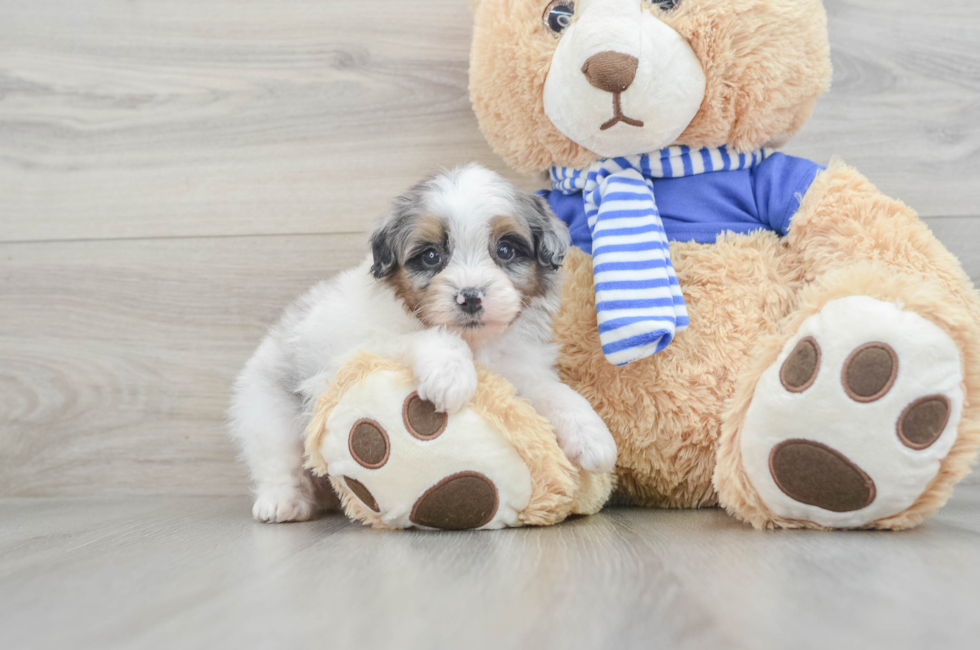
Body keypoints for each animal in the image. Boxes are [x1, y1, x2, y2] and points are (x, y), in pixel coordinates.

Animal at [226, 163, 616, 520]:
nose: (469, 297)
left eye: (506, 250)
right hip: (266, 414)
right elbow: (426, 335)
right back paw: (282, 502)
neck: (474, 341)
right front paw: (451, 376)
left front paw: (592, 434)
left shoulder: (518, 368)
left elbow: (556, 392)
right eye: (430, 256)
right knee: (279, 462)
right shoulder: (356, 350)